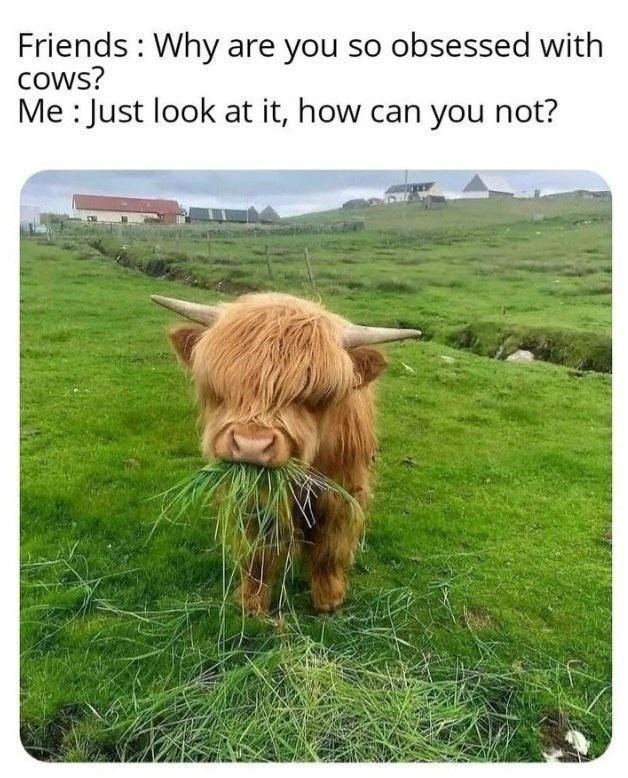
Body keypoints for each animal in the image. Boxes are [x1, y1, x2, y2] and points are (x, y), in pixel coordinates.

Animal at [152, 292, 420, 614]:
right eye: (222, 386)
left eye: (317, 395)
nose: (251, 445)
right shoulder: (254, 498)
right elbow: (258, 550)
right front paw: (252, 602)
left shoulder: (342, 490)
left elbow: (331, 544)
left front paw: (328, 598)